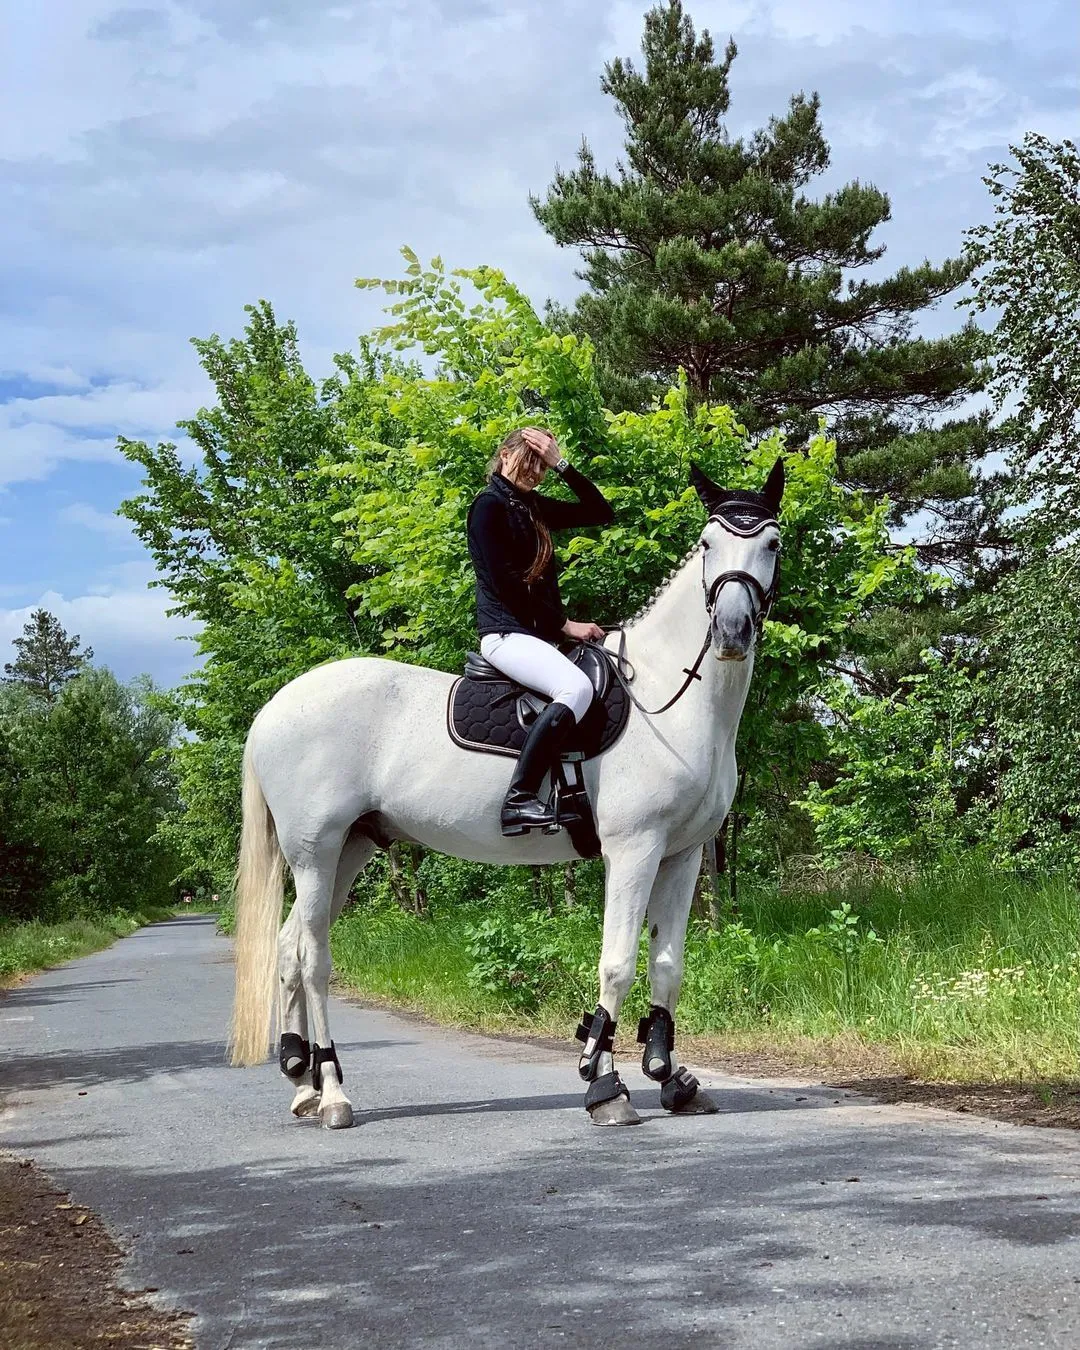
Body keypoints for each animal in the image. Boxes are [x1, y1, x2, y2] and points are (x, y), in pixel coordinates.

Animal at [229, 461, 783, 1128]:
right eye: (707, 544)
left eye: (771, 544)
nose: (731, 632)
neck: (665, 700)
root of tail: (275, 708)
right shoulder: (635, 849)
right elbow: (618, 963)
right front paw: (605, 1086)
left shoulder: (682, 854)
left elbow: (667, 965)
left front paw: (672, 1080)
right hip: (314, 853)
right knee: (313, 961)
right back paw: (334, 1092)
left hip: (349, 851)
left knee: (289, 949)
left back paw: (302, 1082)